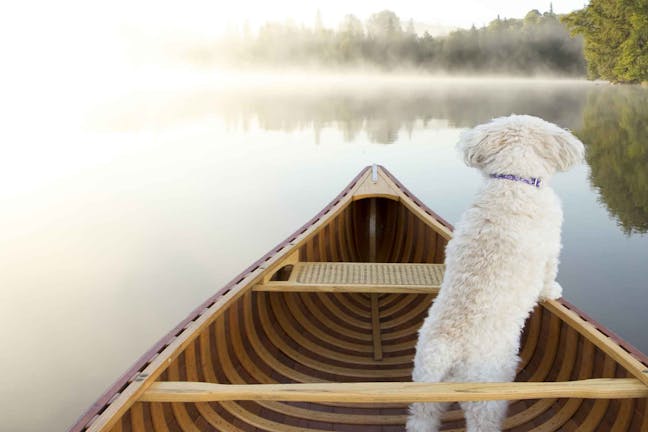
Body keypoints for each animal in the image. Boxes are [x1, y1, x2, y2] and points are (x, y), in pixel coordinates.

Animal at [410, 113, 588, 430]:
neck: (514, 180)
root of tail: (447, 349)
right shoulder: (552, 246)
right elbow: (549, 275)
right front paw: (553, 292)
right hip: (487, 395)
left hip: (425, 391)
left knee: (421, 420)